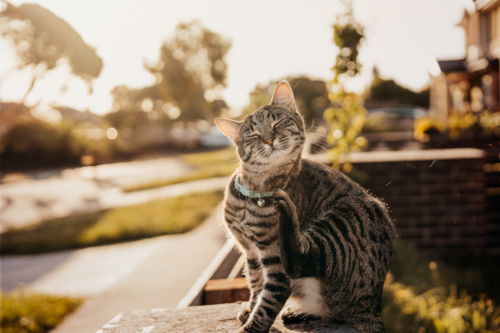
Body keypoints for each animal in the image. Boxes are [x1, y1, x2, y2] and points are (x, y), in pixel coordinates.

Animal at [217, 81, 396, 332]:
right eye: (253, 134)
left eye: (277, 123)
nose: (269, 139)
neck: (252, 192)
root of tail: (372, 308)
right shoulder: (249, 252)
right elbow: (255, 285)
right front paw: (249, 310)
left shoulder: (273, 259)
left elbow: (268, 300)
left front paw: (252, 325)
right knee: (331, 312)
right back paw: (298, 312)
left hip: (348, 215)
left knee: (302, 260)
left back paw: (286, 209)